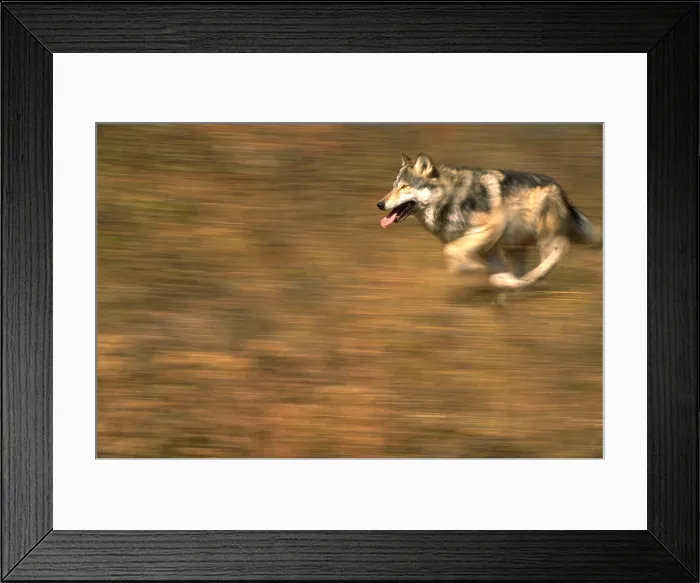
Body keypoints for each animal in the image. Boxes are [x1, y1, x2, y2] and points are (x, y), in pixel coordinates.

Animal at [376, 153, 602, 292]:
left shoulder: (492, 228)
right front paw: (508, 283)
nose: (380, 204)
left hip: (544, 237)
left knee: (560, 250)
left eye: (404, 187)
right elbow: (496, 274)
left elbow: (451, 249)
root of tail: (561, 189)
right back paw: (523, 283)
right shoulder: (489, 248)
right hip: (515, 245)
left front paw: (471, 268)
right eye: (393, 187)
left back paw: (533, 277)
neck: (450, 198)